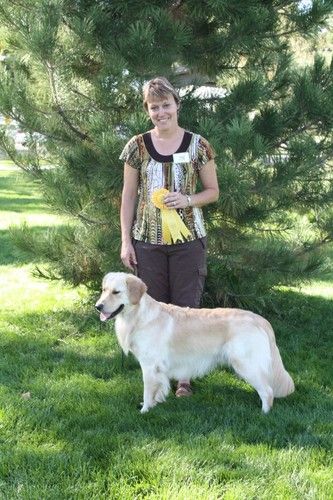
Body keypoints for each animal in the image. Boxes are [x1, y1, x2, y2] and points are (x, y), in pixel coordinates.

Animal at [95, 272, 294, 412]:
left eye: (116, 292)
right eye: (104, 290)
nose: (98, 306)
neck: (138, 316)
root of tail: (260, 319)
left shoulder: (149, 365)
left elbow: (147, 389)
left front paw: (145, 410)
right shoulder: (158, 369)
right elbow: (158, 388)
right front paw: (155, 403)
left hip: (246, 364)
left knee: (267, 392)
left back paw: (263, 414)